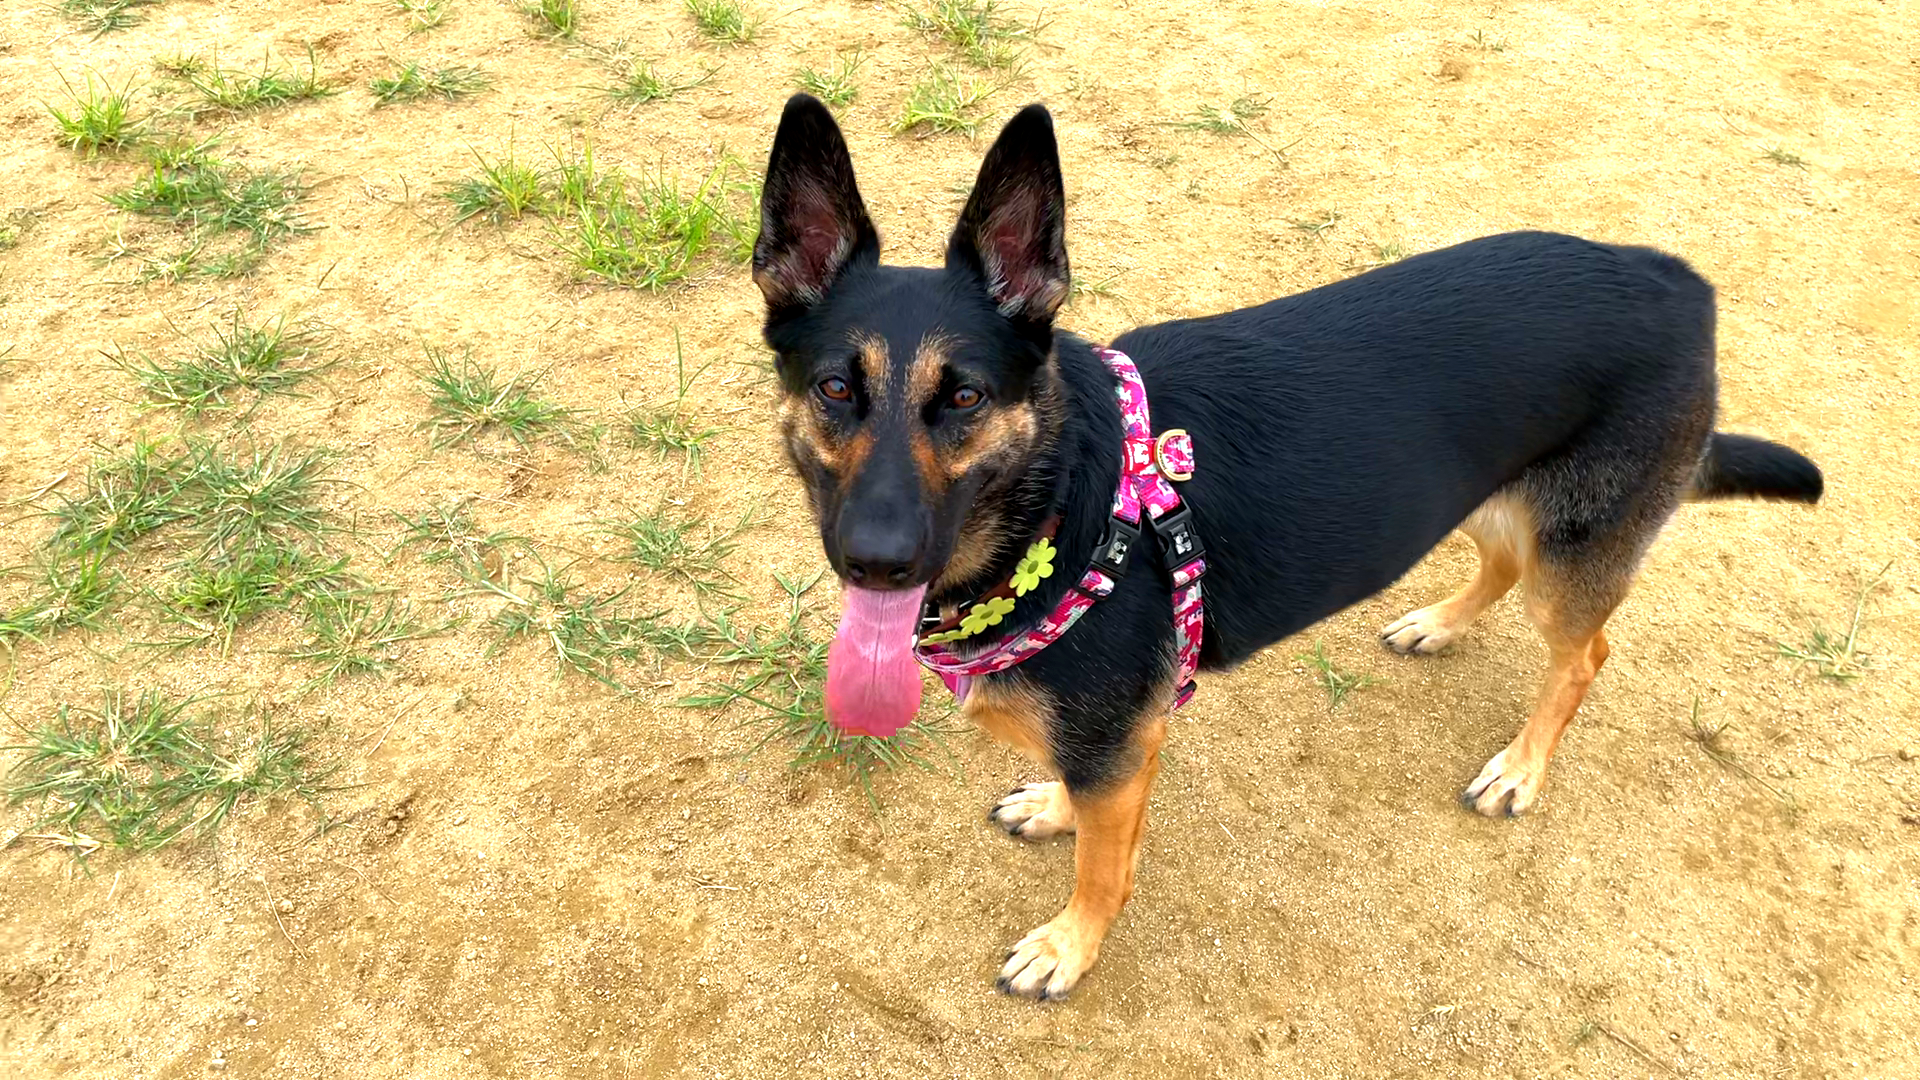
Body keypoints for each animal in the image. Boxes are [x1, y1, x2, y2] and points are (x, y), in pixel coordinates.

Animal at [749, 94, 1823, 1000]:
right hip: (1477, 489)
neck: (1062, 499)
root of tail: (1677, 280)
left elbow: (1105, 866)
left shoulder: (1116, 746)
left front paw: (1069, 945)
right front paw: (1052, 806)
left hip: (1571, 554)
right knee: (1500, 561)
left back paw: (1521, 767)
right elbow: (1088, 803)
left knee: (1585, 651)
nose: (876, 561)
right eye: (836, 388)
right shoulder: (1118, 742)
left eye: (966, 397)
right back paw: (1438, 624)